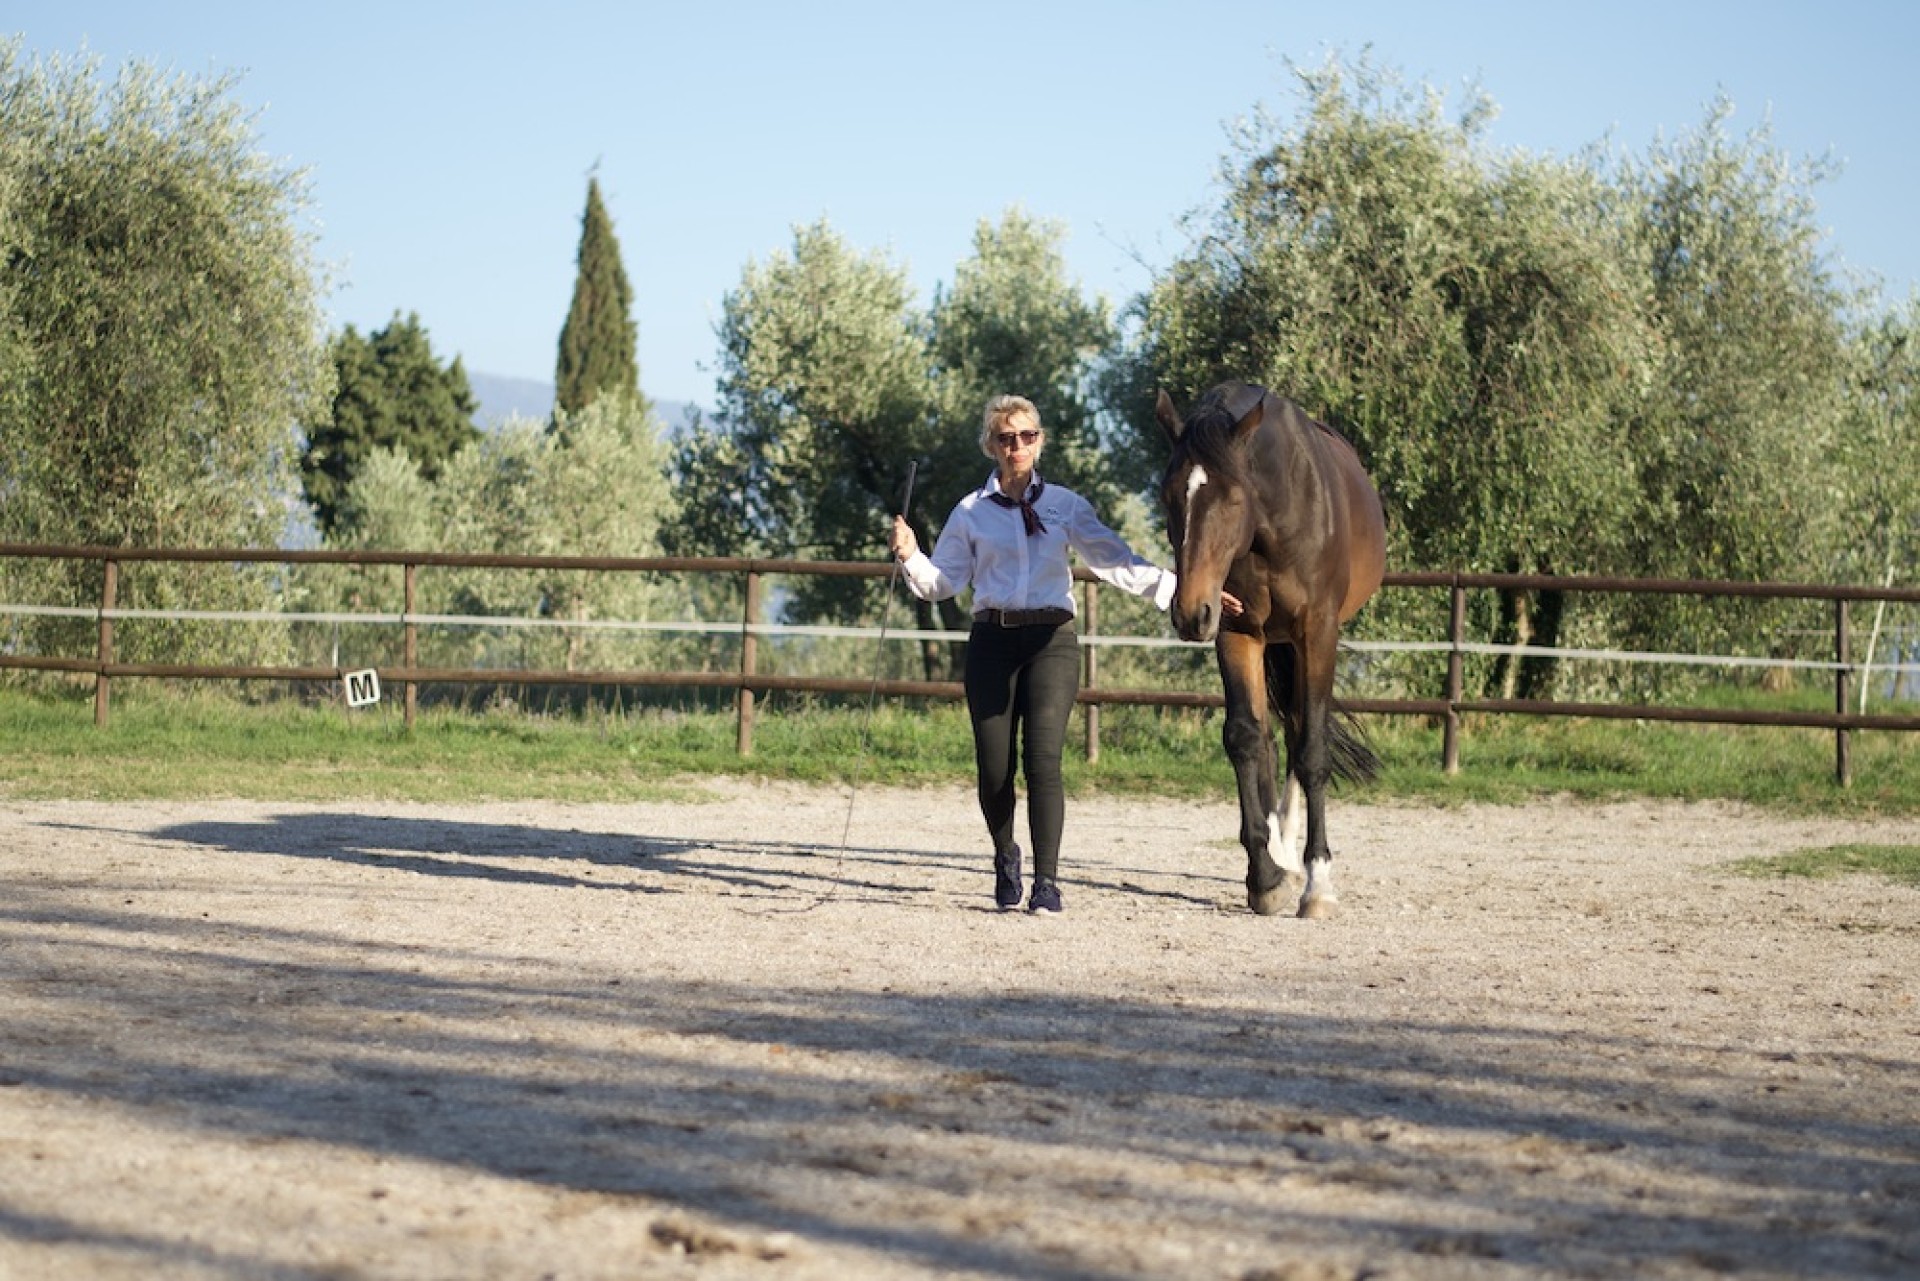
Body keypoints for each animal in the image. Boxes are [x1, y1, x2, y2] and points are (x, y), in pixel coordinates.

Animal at [1152, 384, 1382, 921]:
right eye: (1169, 495)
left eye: (1234, 498)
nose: (1190, 613)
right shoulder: (1236, 631)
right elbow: (1244, 737)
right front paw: (1264, 878)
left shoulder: (1316, 633)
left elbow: (1313, 751)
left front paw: (1318, 885)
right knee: (1272, 737)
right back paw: (1280, 850)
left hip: (1298, 643)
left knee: (1299, 731)